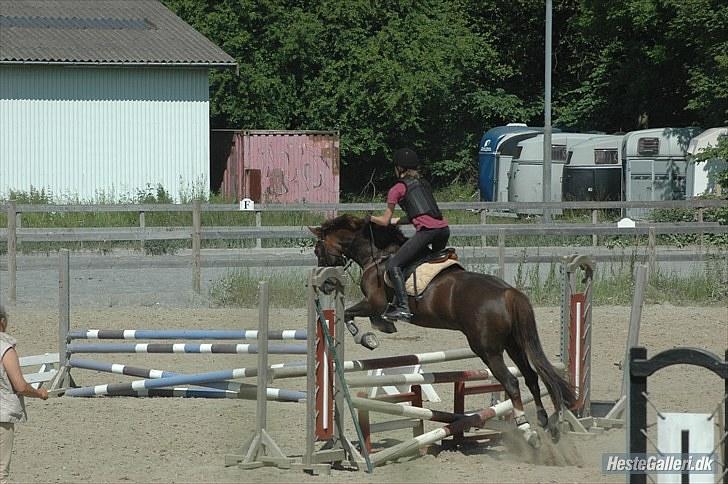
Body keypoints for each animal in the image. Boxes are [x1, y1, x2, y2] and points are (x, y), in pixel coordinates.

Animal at [308, 214, 576, 448]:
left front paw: (369, 337)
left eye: (318, 249)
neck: (379, 255)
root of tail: (508, 293)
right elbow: (356, 315)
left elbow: (350, 314)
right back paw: (546, 423)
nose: (326, 282)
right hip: (513, 344)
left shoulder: (374, 303)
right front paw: (378, 330)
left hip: (487, 350)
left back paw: (528, 431)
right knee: (531, 376)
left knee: (511, 382)